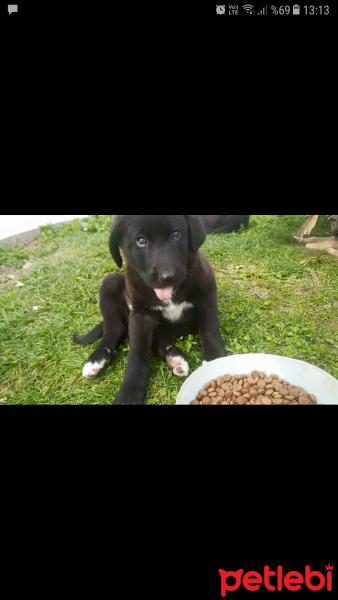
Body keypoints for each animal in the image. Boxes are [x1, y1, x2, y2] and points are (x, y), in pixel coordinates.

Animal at [74, 213, 227, 406]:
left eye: (175, 235)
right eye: (141, 241)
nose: (167, 277)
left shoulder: (207, 290)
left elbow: (209, 328)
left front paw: (216, 361)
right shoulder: (140, 315)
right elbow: (137, 354)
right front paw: (129, 392)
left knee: (159, 341)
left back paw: (175, 359)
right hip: (110, 282)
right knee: (115, 328)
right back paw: (97, 359)